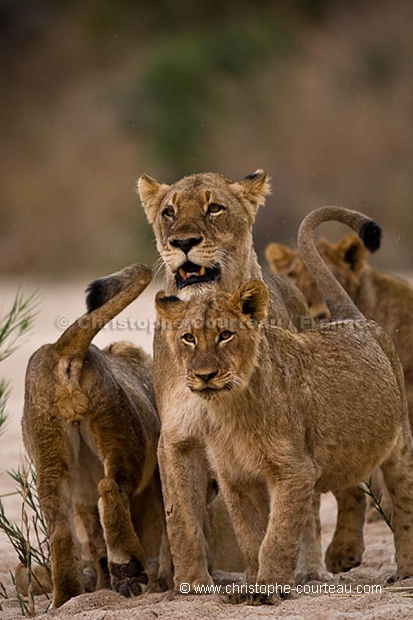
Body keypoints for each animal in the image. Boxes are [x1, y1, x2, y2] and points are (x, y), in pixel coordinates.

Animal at [21, 264, 170, 608]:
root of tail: (60, 349)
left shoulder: (84, 502)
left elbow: (95, 543)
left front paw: (104, 584)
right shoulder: (158, 473)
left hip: (50, 453)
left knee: (60, 528)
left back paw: (67, 597)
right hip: (124, 436)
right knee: (110, 487)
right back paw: (129, 569)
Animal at [154, 207, 412, 600]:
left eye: (226, 335)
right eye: (188, 338)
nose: (204, 375)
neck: (230, 408)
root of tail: (353, 319)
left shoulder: (295, 470)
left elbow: (277, 535)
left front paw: (269, 588)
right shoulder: (235, 479)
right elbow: (250, 538)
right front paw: (253, 586)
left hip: (399, 446)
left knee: (405, 505)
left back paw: (406, 572)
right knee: (353, 488)